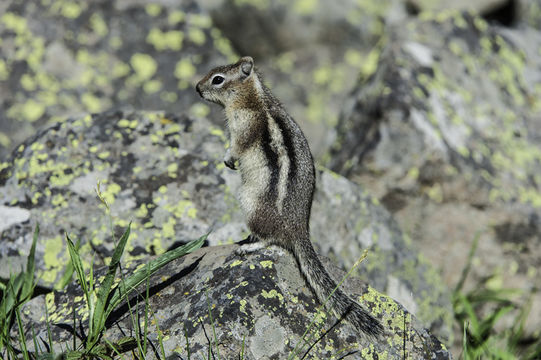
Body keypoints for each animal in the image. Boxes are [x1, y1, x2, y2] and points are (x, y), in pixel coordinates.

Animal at [196, 56, 382, 338]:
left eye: (218, 79)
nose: (197, 88)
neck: (253, 98)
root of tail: (298, 229)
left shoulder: (243, 129)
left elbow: (236, 147)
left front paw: (228, 159)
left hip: (250, 203)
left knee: (270, 240)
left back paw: (248, 245)